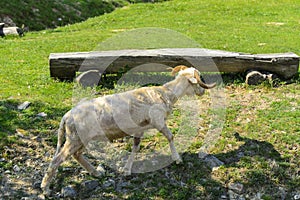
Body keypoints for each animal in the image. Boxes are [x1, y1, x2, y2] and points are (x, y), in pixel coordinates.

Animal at [41, 65, 217, 195]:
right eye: (199, 79)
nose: (203, 92)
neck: (166, 93)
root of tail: (66, 116)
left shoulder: (140, 127)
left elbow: (135, 146)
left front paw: (127, 169)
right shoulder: (158, 121)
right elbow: (170, 137)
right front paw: (177, 159)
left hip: (80, 139)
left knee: (77, 155)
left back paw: (96, 173)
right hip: (74, 139)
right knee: (58, 160)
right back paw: (45, 188)